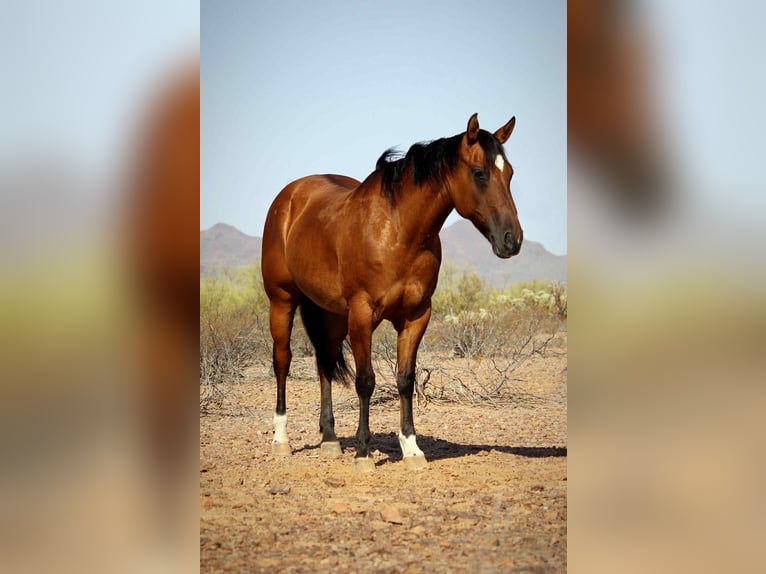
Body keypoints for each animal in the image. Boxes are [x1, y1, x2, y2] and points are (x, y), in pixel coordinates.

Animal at [261, 113, 522, 471]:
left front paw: (411, 448)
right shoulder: (362, 314)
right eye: (479, 173)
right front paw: (363, 453)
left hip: (331, 314)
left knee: (324, 362)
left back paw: (329, 439)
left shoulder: (415, 316)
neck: (399, 230)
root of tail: (289, 197)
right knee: (282, 361)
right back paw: (281, 440)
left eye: (509, 173)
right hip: (282, 300)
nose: (513, 240)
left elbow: (405, 379)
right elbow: (366, 381)